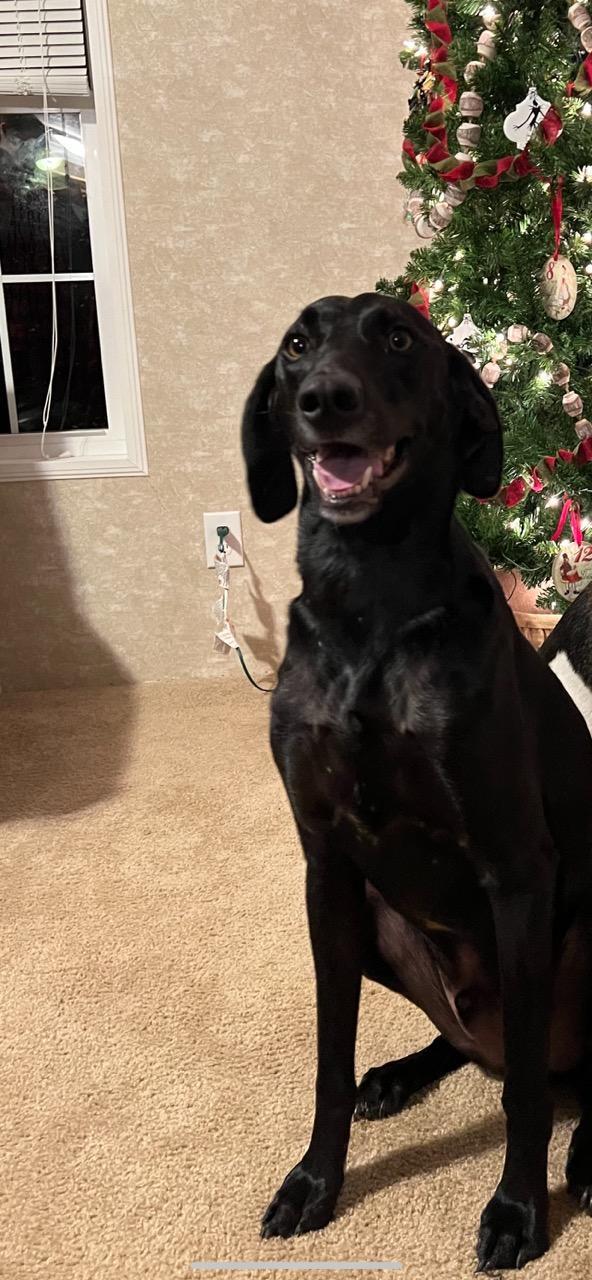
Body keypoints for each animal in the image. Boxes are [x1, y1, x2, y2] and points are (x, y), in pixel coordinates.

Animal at [242, 296, 592, 1269]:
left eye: (398, 337)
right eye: (296, 345)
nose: (324, 399)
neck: (368, 604)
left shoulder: (517, 870)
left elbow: (524, 1102)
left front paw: (518, 1211)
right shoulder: (326, 870)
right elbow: (329, 1057)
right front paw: (315, 1183)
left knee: (539, 1071)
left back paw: (588, 1150)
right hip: (382, 926)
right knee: (473, 1045)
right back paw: (399, 1075)